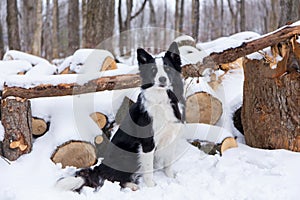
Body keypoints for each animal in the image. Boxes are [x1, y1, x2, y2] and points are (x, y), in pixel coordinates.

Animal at [56, 42, 185, 192]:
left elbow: (168, 163)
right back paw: (132, 185)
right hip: (128, 154)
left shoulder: (171, 136)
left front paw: (171, 178)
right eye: (153, 70)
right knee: (114, 179)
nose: (162, 79)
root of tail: (100, 168)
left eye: (168, 68)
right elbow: (148, 170)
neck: (162, 100)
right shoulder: (147, 143)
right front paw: (152, 187)